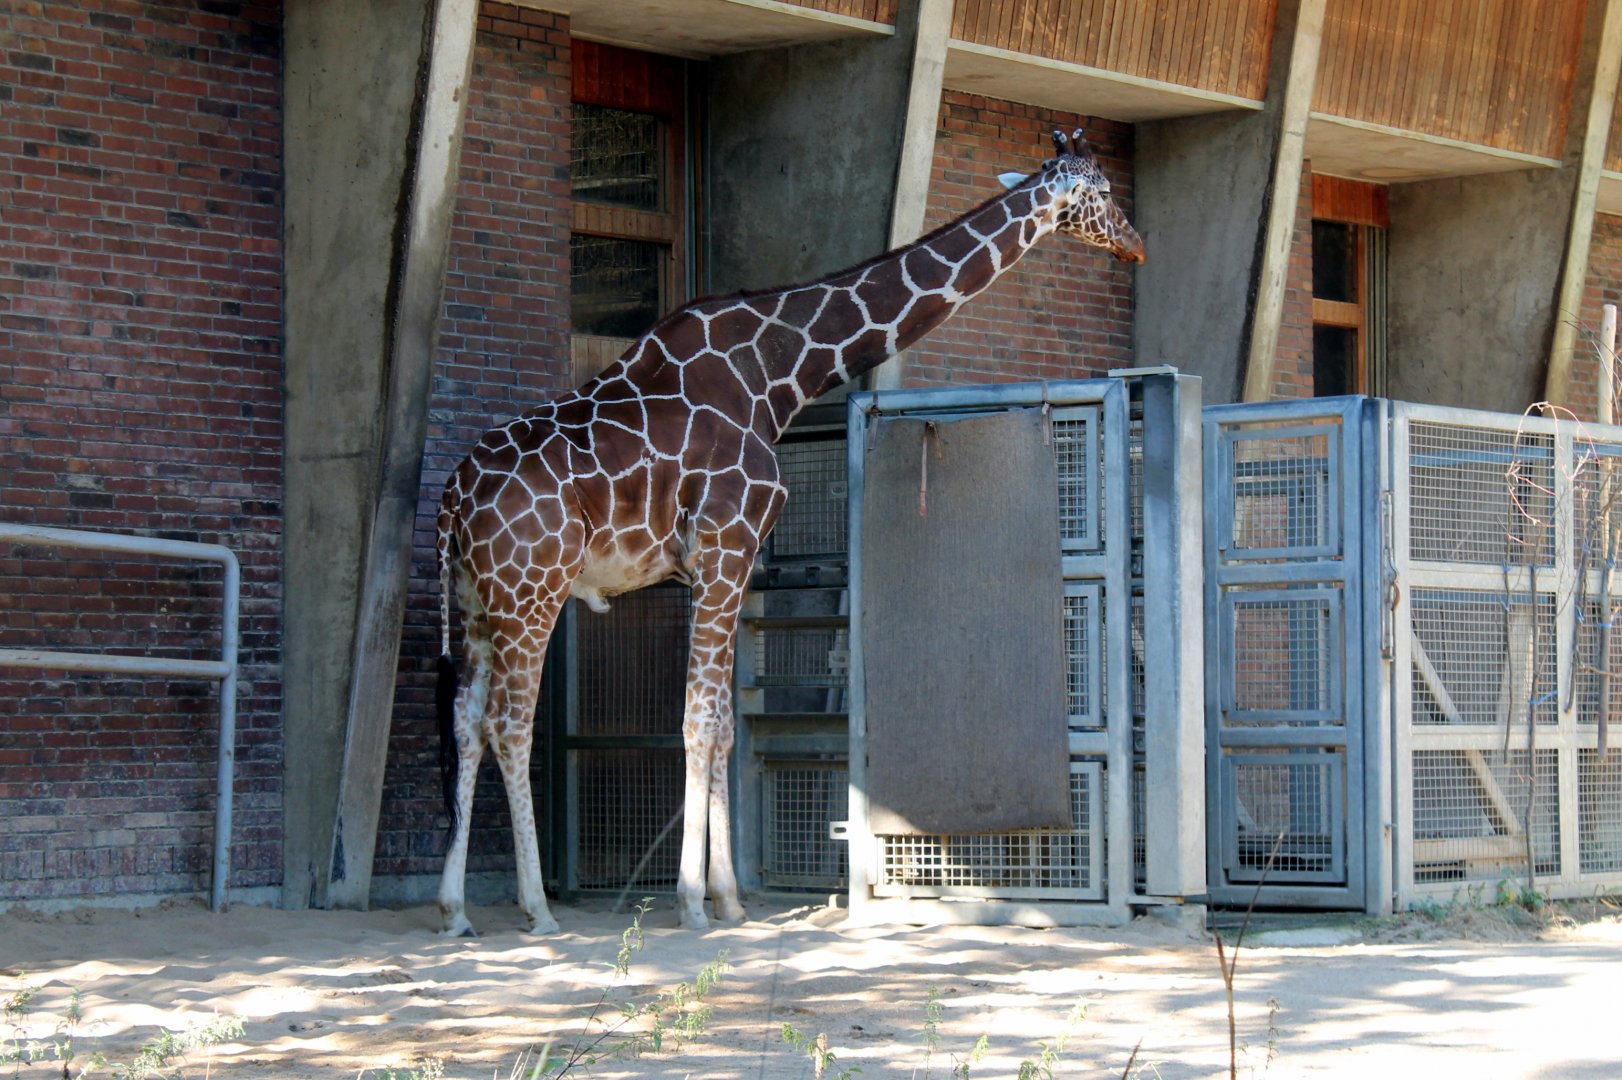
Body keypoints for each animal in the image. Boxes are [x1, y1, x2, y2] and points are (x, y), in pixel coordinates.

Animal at [434, 128, 1145, 936]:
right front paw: (692, 901)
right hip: (532, 592)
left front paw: (730, 896)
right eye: (1101, 193)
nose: (1135, 244)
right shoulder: (724, 547)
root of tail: (454, 497)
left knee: (464, 719)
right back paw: (536, 907)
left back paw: (454, 909)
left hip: (476, 599)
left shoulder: (727, 566)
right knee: (508, 724)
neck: (781, 373)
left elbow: (724, 726)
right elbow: (698, 723)